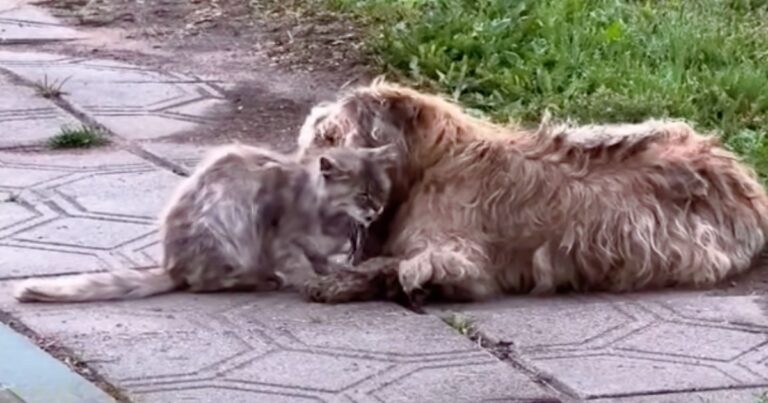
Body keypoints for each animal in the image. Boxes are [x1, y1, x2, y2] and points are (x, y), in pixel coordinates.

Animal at [15, 142, 396, 304]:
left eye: (382, 191)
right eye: (363, 196)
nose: (377, 210)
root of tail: (172, 267)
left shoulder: (316, 246)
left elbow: (323, 261)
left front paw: (337, 275)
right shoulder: (282, 238)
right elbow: (301, 264)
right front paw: (313, 283)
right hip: (225, 237)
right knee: (205, 284)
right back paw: (263, 280)